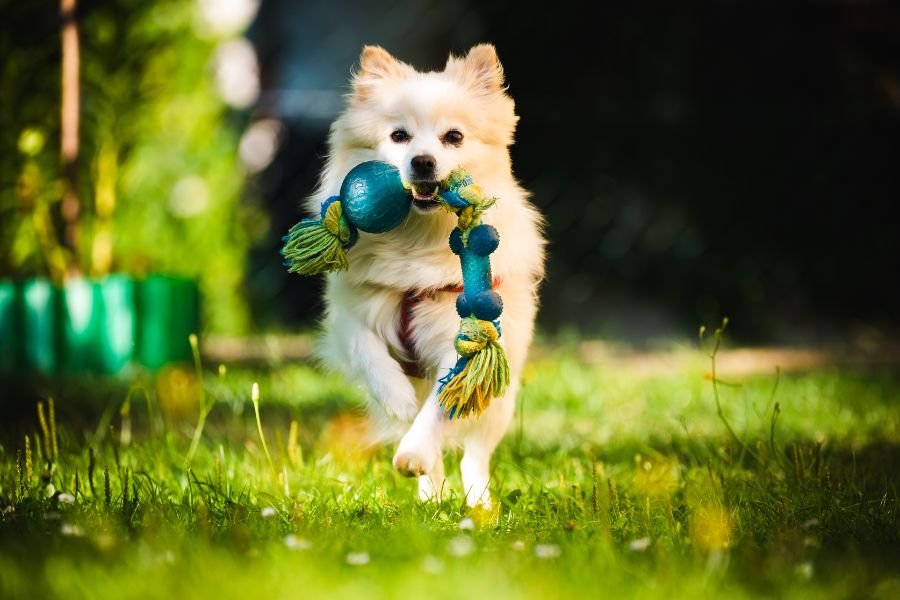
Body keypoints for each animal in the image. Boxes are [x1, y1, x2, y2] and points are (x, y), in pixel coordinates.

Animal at [310, 44, 544, 508]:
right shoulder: (351, 314)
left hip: (499, 403)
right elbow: (368, 351)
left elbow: (440, 405)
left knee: (475, 454)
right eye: (398, 136)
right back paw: (431, 496)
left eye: (453, 137)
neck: (416, 241)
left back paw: (478, 503)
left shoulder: (466, 337)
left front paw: (414, 451)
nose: (422, 162)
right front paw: (396, 398)